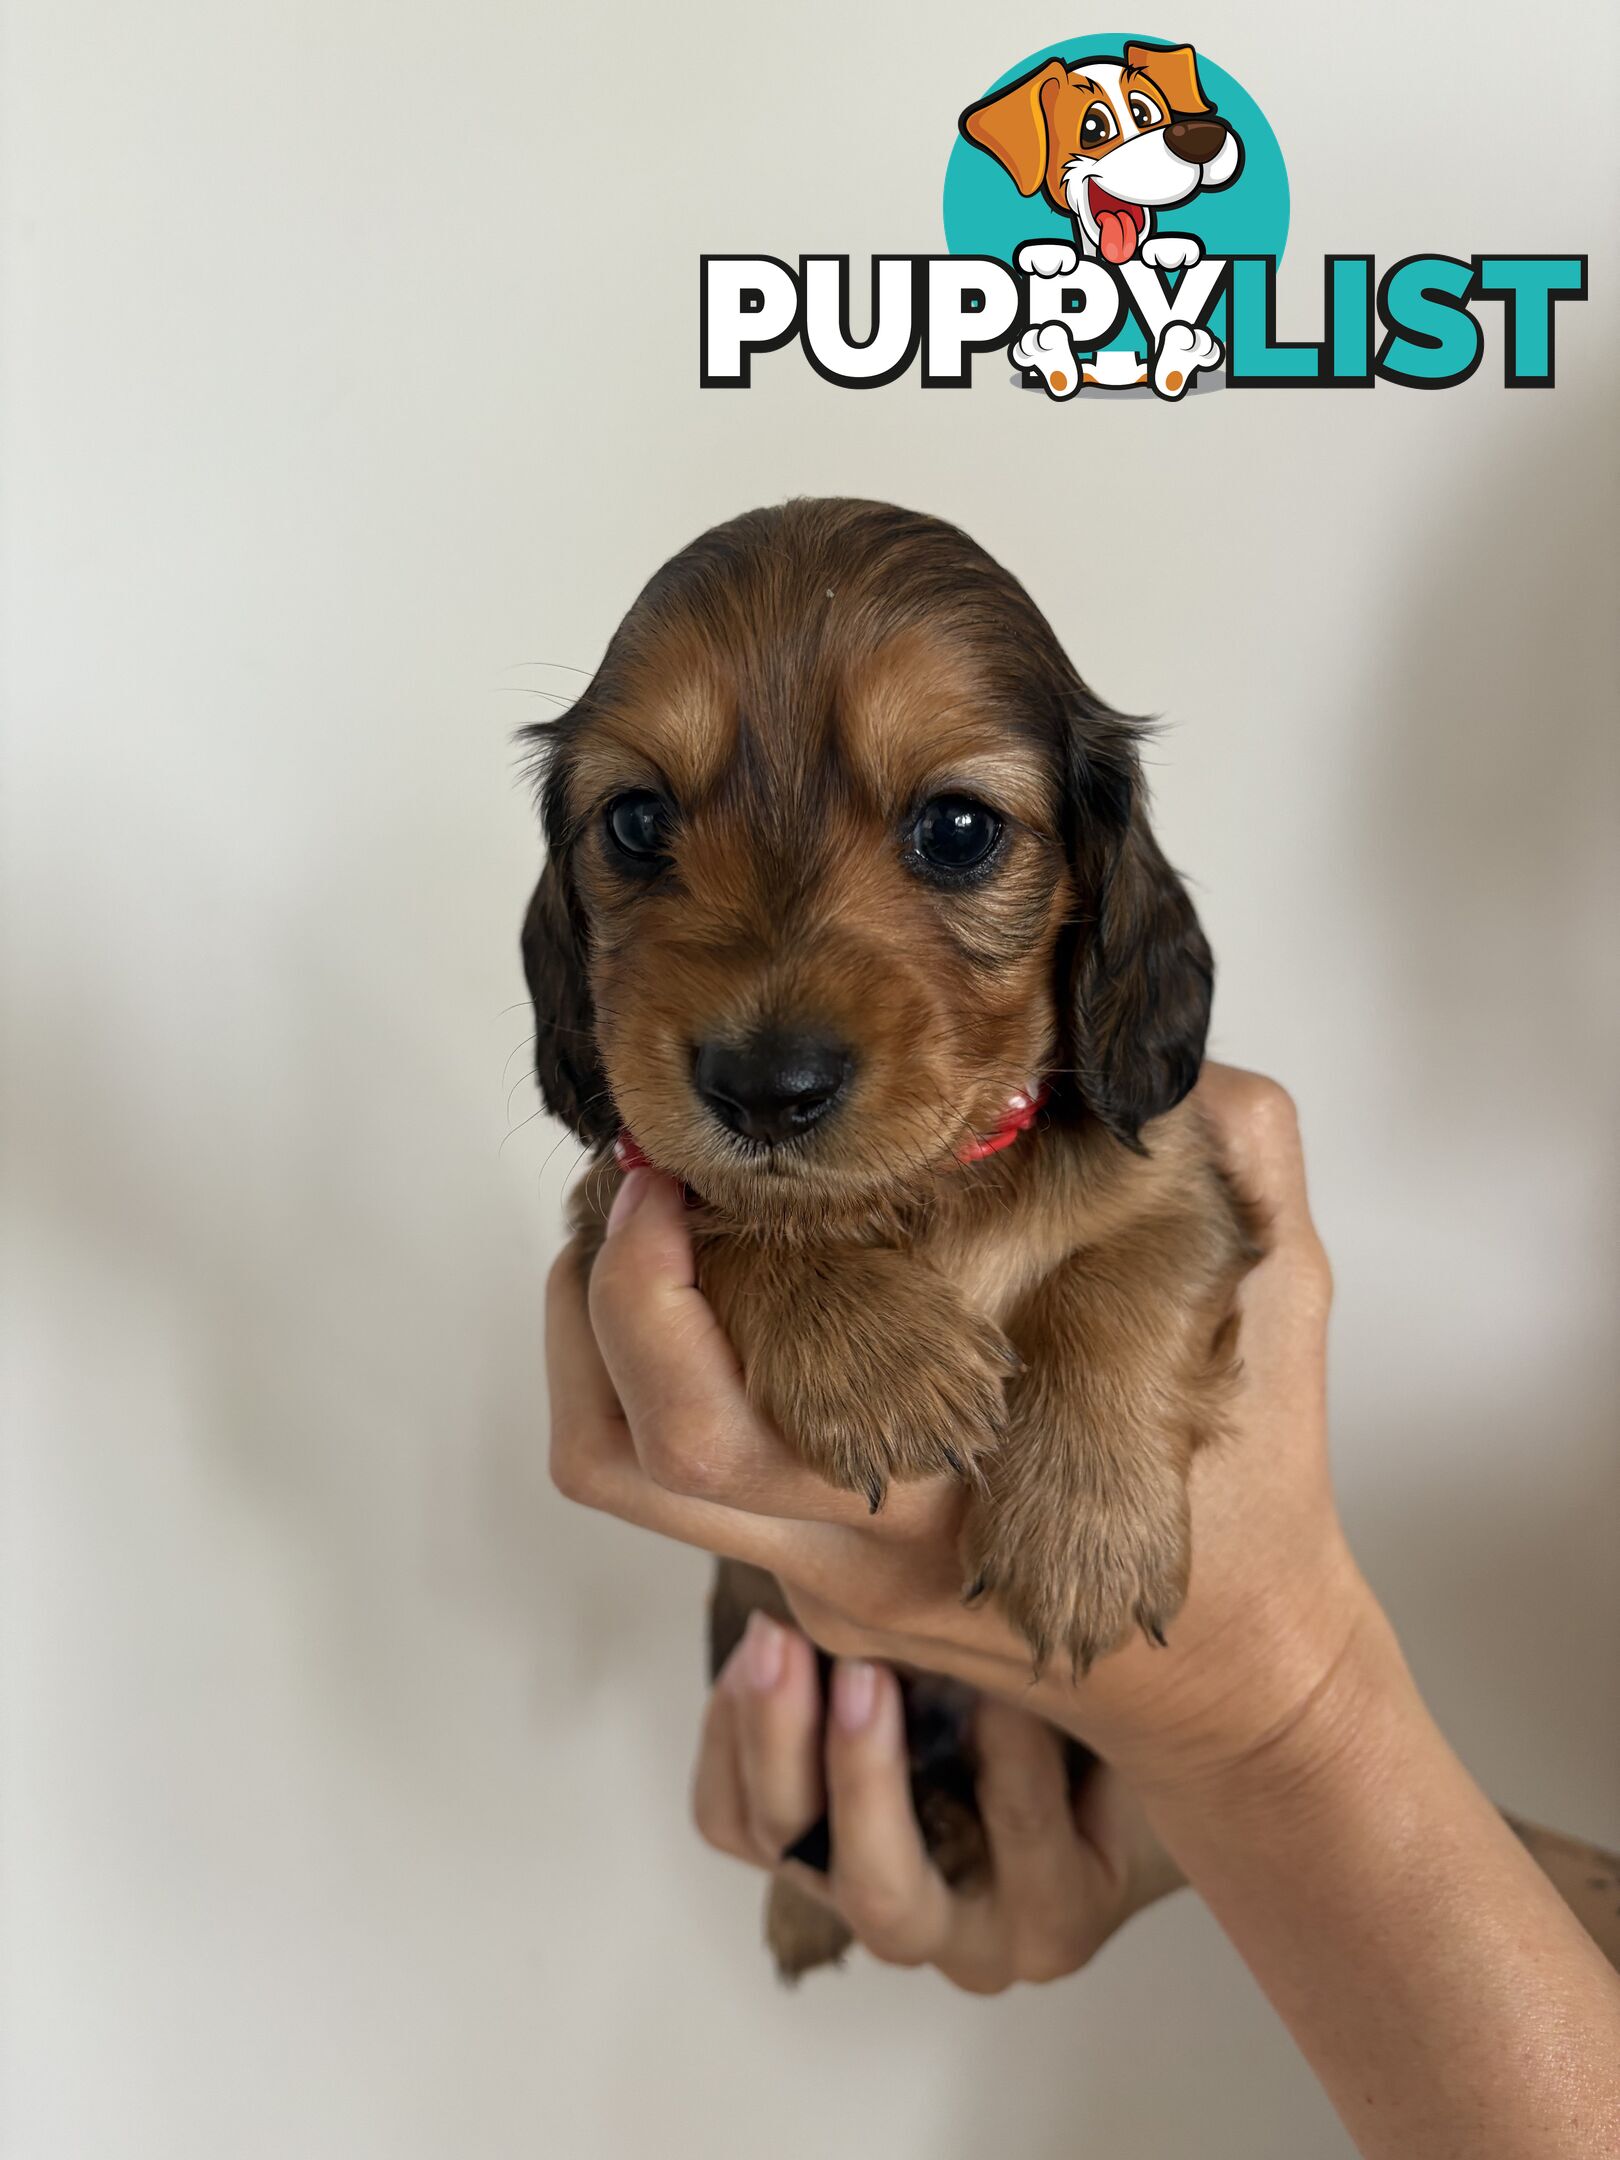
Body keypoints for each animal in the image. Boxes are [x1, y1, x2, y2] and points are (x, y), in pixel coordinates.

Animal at [527, 501, 1261, 1978]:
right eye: (635, 820)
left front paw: (1083, 1534)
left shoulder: (1191, 1178)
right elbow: (727, 1210)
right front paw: (877, 1361)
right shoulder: (616, 1195)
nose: (764, 1087)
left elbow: (1125, 1274)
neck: (925, 1191)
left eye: (960, 828)